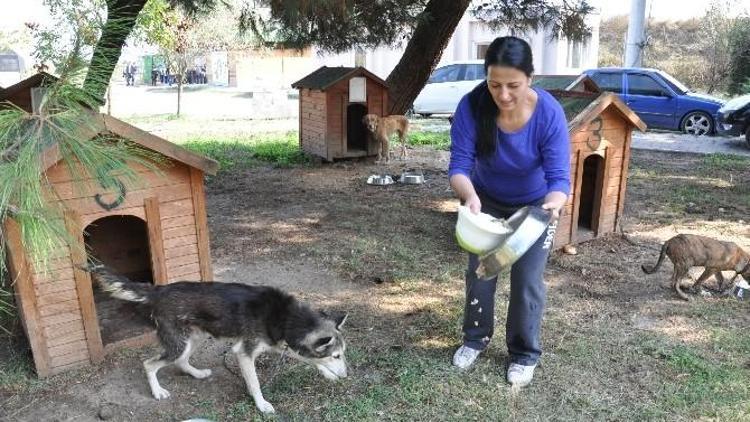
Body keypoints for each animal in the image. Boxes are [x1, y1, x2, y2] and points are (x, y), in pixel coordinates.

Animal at [83, 266, 350, 414]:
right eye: (337, 355)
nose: (347, 376)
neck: (286, 317)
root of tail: (159, 289)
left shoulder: (284, 344)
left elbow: (310, 359)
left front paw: (329, 374)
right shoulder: (244, 353)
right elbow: (255, 384)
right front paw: (262, 405)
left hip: (194, 338)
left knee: (181, 362)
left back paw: (198, 373)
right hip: (179, 344)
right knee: (149, 364)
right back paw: (157, 392)